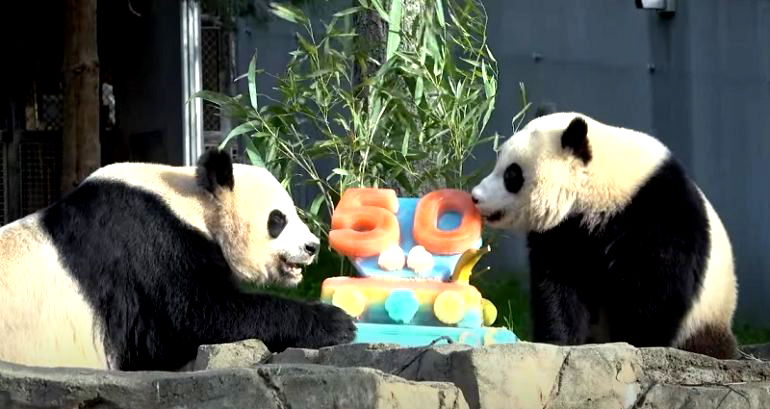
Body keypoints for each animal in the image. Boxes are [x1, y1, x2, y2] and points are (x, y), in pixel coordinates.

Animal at [0, 147, 354, 370]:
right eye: (277, 219)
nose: (312, 246)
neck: (189, 201)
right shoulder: (146, 243)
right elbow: (194, 316)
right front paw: (336, 322)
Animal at [468, 111, 736, 356]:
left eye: (512, 175)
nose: (475, 196)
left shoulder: (657, 210)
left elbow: (658, 285)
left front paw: (637, 342)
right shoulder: (564, 232)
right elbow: (558, 287)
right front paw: (559, 341)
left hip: (706, 315)